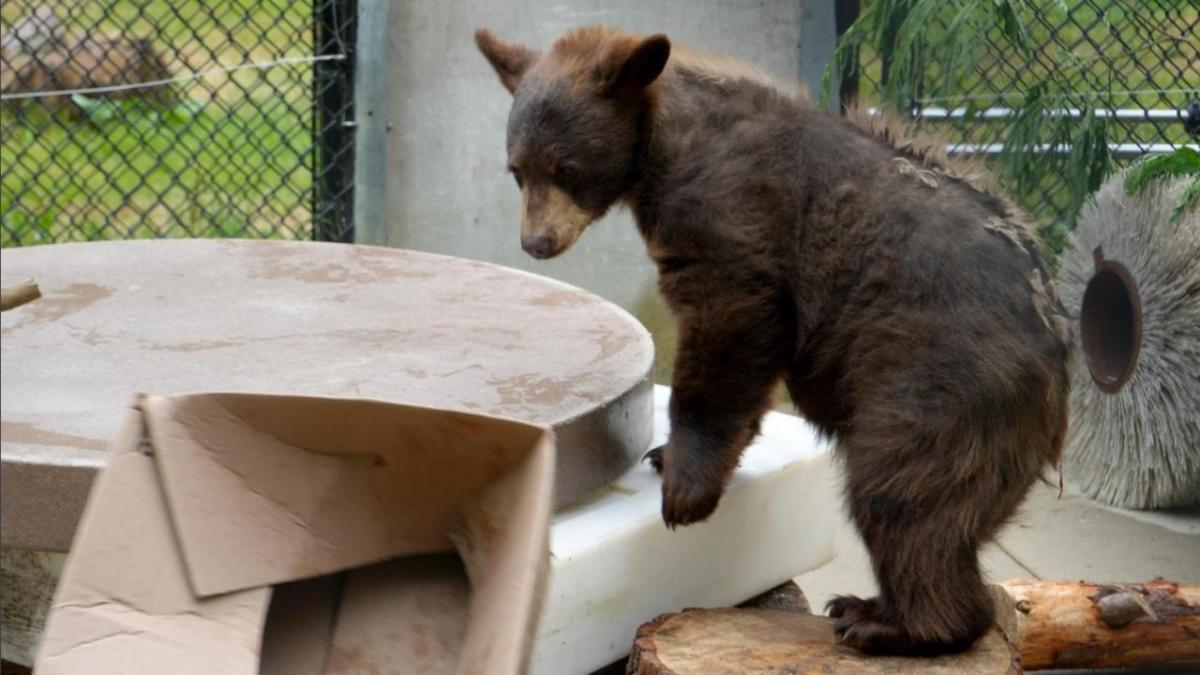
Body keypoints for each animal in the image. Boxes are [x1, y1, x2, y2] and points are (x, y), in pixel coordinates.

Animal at [476, 25, 1071, 656]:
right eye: (517, 170)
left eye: (566, 168)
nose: (536, 242)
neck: (662, 142)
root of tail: (1061, 367)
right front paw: (667, 455)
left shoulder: (733, 209)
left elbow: (730, 323)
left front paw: (683, 487)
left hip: (939, 377)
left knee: (904, 492)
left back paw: (885, 620)